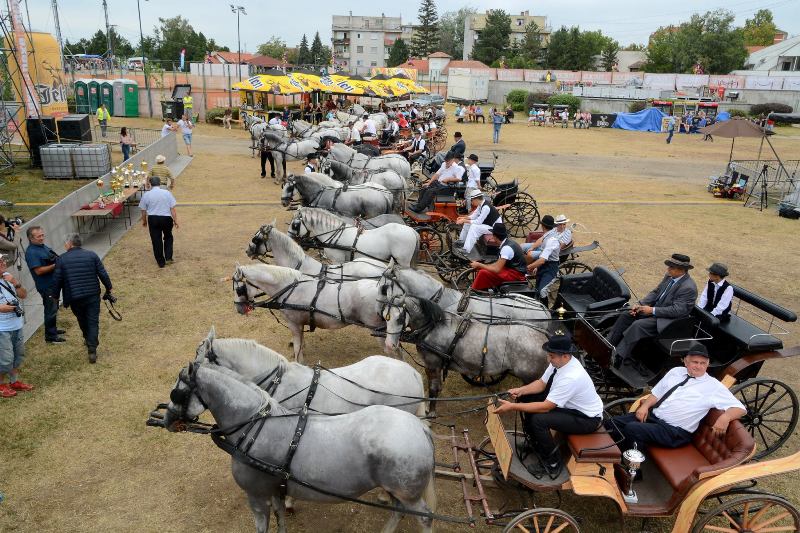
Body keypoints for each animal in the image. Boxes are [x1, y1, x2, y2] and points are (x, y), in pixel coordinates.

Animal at [164, 364, 438, 532]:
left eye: (176, 393)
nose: (166, 419)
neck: (255, 426)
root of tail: (418, 427)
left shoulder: (256, 496)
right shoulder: (274, 490)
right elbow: (280, 518)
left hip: (409, 494)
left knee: (424, 518)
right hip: (396, 490)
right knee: (398, 511)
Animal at [231, 262, 388, 362]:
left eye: (238, 289)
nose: (238, 308)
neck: (288, 287)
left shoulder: (294, 324)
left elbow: (297, 348)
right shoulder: (300, 324)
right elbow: (300, 345)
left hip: (378, 330)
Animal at [382, 294, 552, 414]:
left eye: (400, 318)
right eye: (385, 316)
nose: (389, 345)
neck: (433, 328)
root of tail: (544, 339)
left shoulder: (432, 364)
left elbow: (433, 388)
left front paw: (431, 412)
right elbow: (437, 387)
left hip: (531, 379)